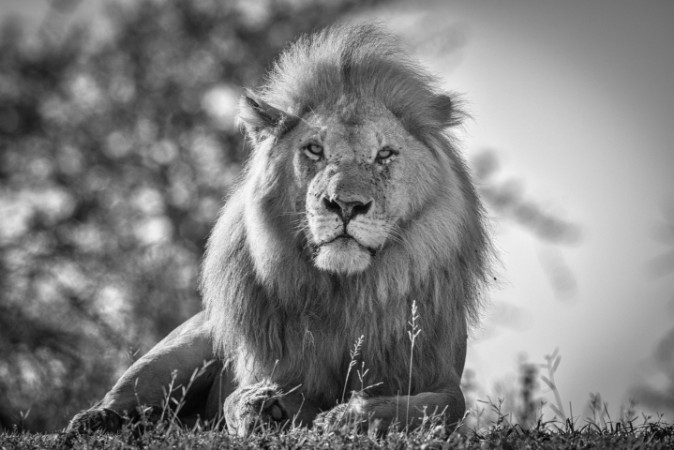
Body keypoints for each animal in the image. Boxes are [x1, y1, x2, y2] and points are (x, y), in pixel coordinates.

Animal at [66, 24, 489, 436]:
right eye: (315, 150)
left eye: (384, 154)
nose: (345, 205)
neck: (347, 293)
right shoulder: (261, 367)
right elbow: (235, 400)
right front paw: (265, 407)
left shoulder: (440, 376)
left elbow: (437, 408)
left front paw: (348, 417)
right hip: (182, 347)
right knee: (128, 396)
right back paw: (95, 421)